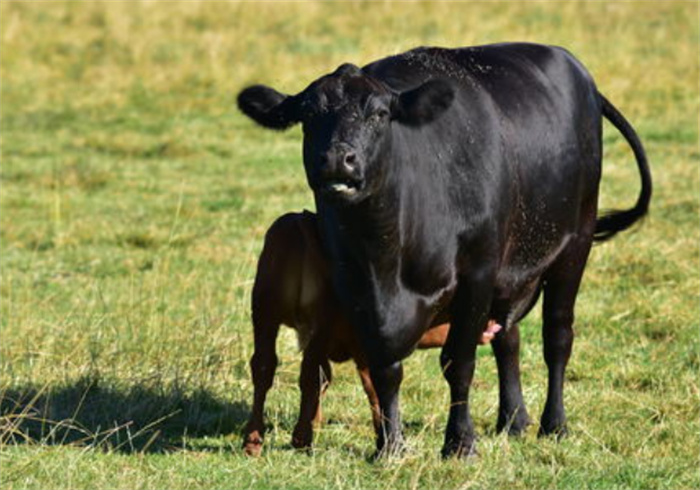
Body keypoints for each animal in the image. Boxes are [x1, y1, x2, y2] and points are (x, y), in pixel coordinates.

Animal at [238, 44, 652, 458]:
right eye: (308, 115)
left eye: (380, 114)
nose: (339, 158)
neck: (386, 257)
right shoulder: (354, 285)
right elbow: (385, 367)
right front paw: (390, 445)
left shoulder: (477, 274)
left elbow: (458, 361)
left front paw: (460, 441)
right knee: (508, 339)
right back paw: (513, 420)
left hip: (574, 247)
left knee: (558, 337)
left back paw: (554, 425)